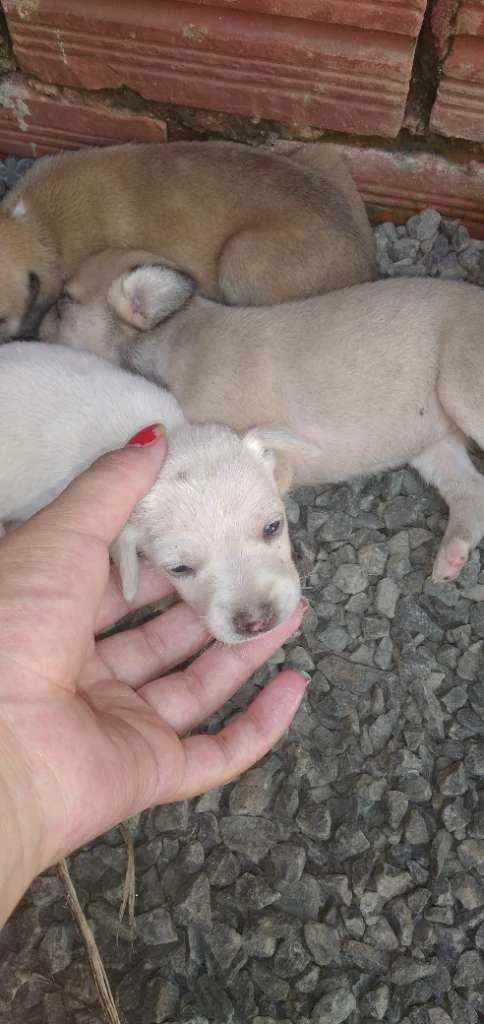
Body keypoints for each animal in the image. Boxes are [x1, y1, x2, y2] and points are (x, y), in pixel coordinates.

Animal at [40, 249, 482, 585]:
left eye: (63, 303)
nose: (30, 330)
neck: (175, 335)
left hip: (462, 393)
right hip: (433, 446)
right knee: (471, 490)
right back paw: (452, 554)